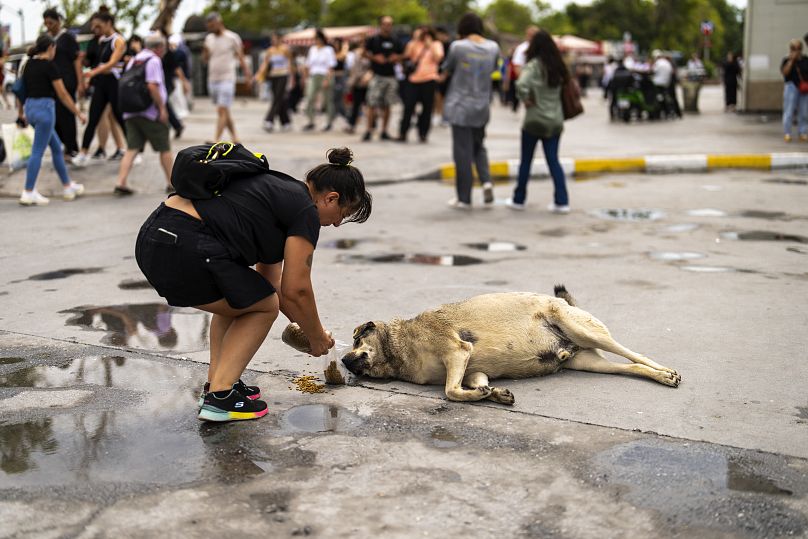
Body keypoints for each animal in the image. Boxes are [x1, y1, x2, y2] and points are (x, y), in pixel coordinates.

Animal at [340, 286, 680, 404]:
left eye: (357, 339)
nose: (343, 360)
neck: (398, 347)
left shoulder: (457, 351)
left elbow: (450, 391)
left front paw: (478, 395)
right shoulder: (470, 368)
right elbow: (474, 384)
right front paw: (492, 393)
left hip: (583, 329)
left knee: (635, 353)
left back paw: (665, 372)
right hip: (588, 362)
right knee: (630, 367)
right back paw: (656, 375)